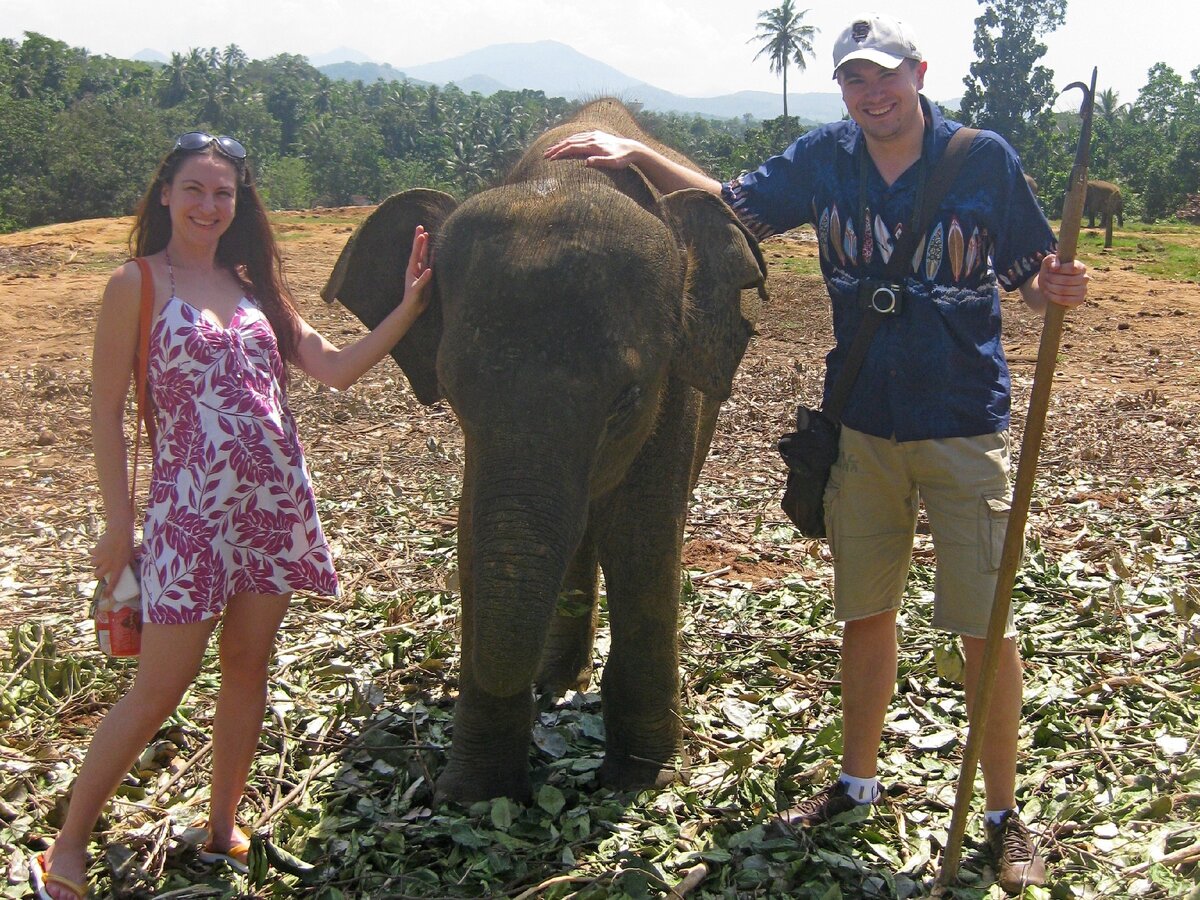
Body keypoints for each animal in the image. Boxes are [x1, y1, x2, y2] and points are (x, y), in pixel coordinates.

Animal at [324, 98, 763, 801]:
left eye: (626, 399)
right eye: (451, 388)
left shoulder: (674, 387)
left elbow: (641, 533)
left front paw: (643, 779)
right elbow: (474, 527)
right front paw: (476, 793)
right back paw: (558, 682)